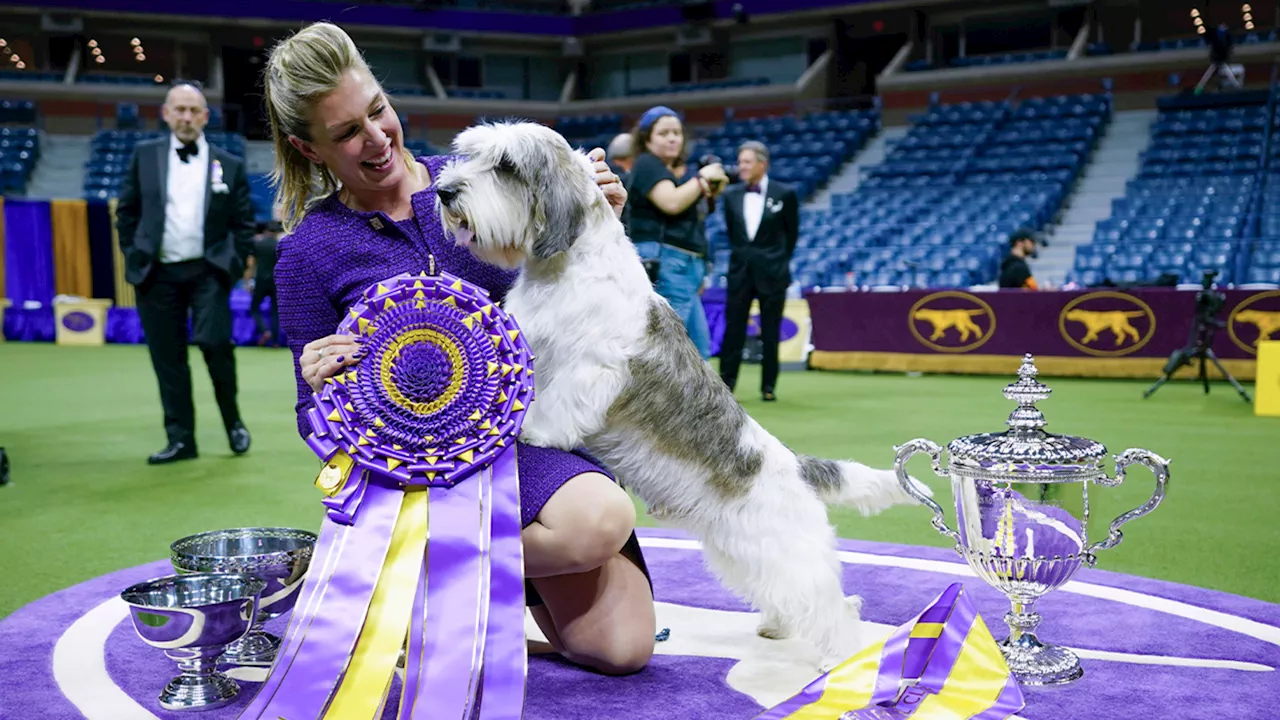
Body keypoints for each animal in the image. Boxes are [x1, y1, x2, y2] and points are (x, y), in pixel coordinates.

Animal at [437, 121, 931, 666]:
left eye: (506, 166)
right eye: (469, 154)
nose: (445, 191)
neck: (564, 269)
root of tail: (796, 466)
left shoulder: (588, 369)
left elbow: (557, 406)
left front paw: (531, 431)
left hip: (786, 550)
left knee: (835, 606)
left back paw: (838, 661)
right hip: (738, 549)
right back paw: (778, 628)